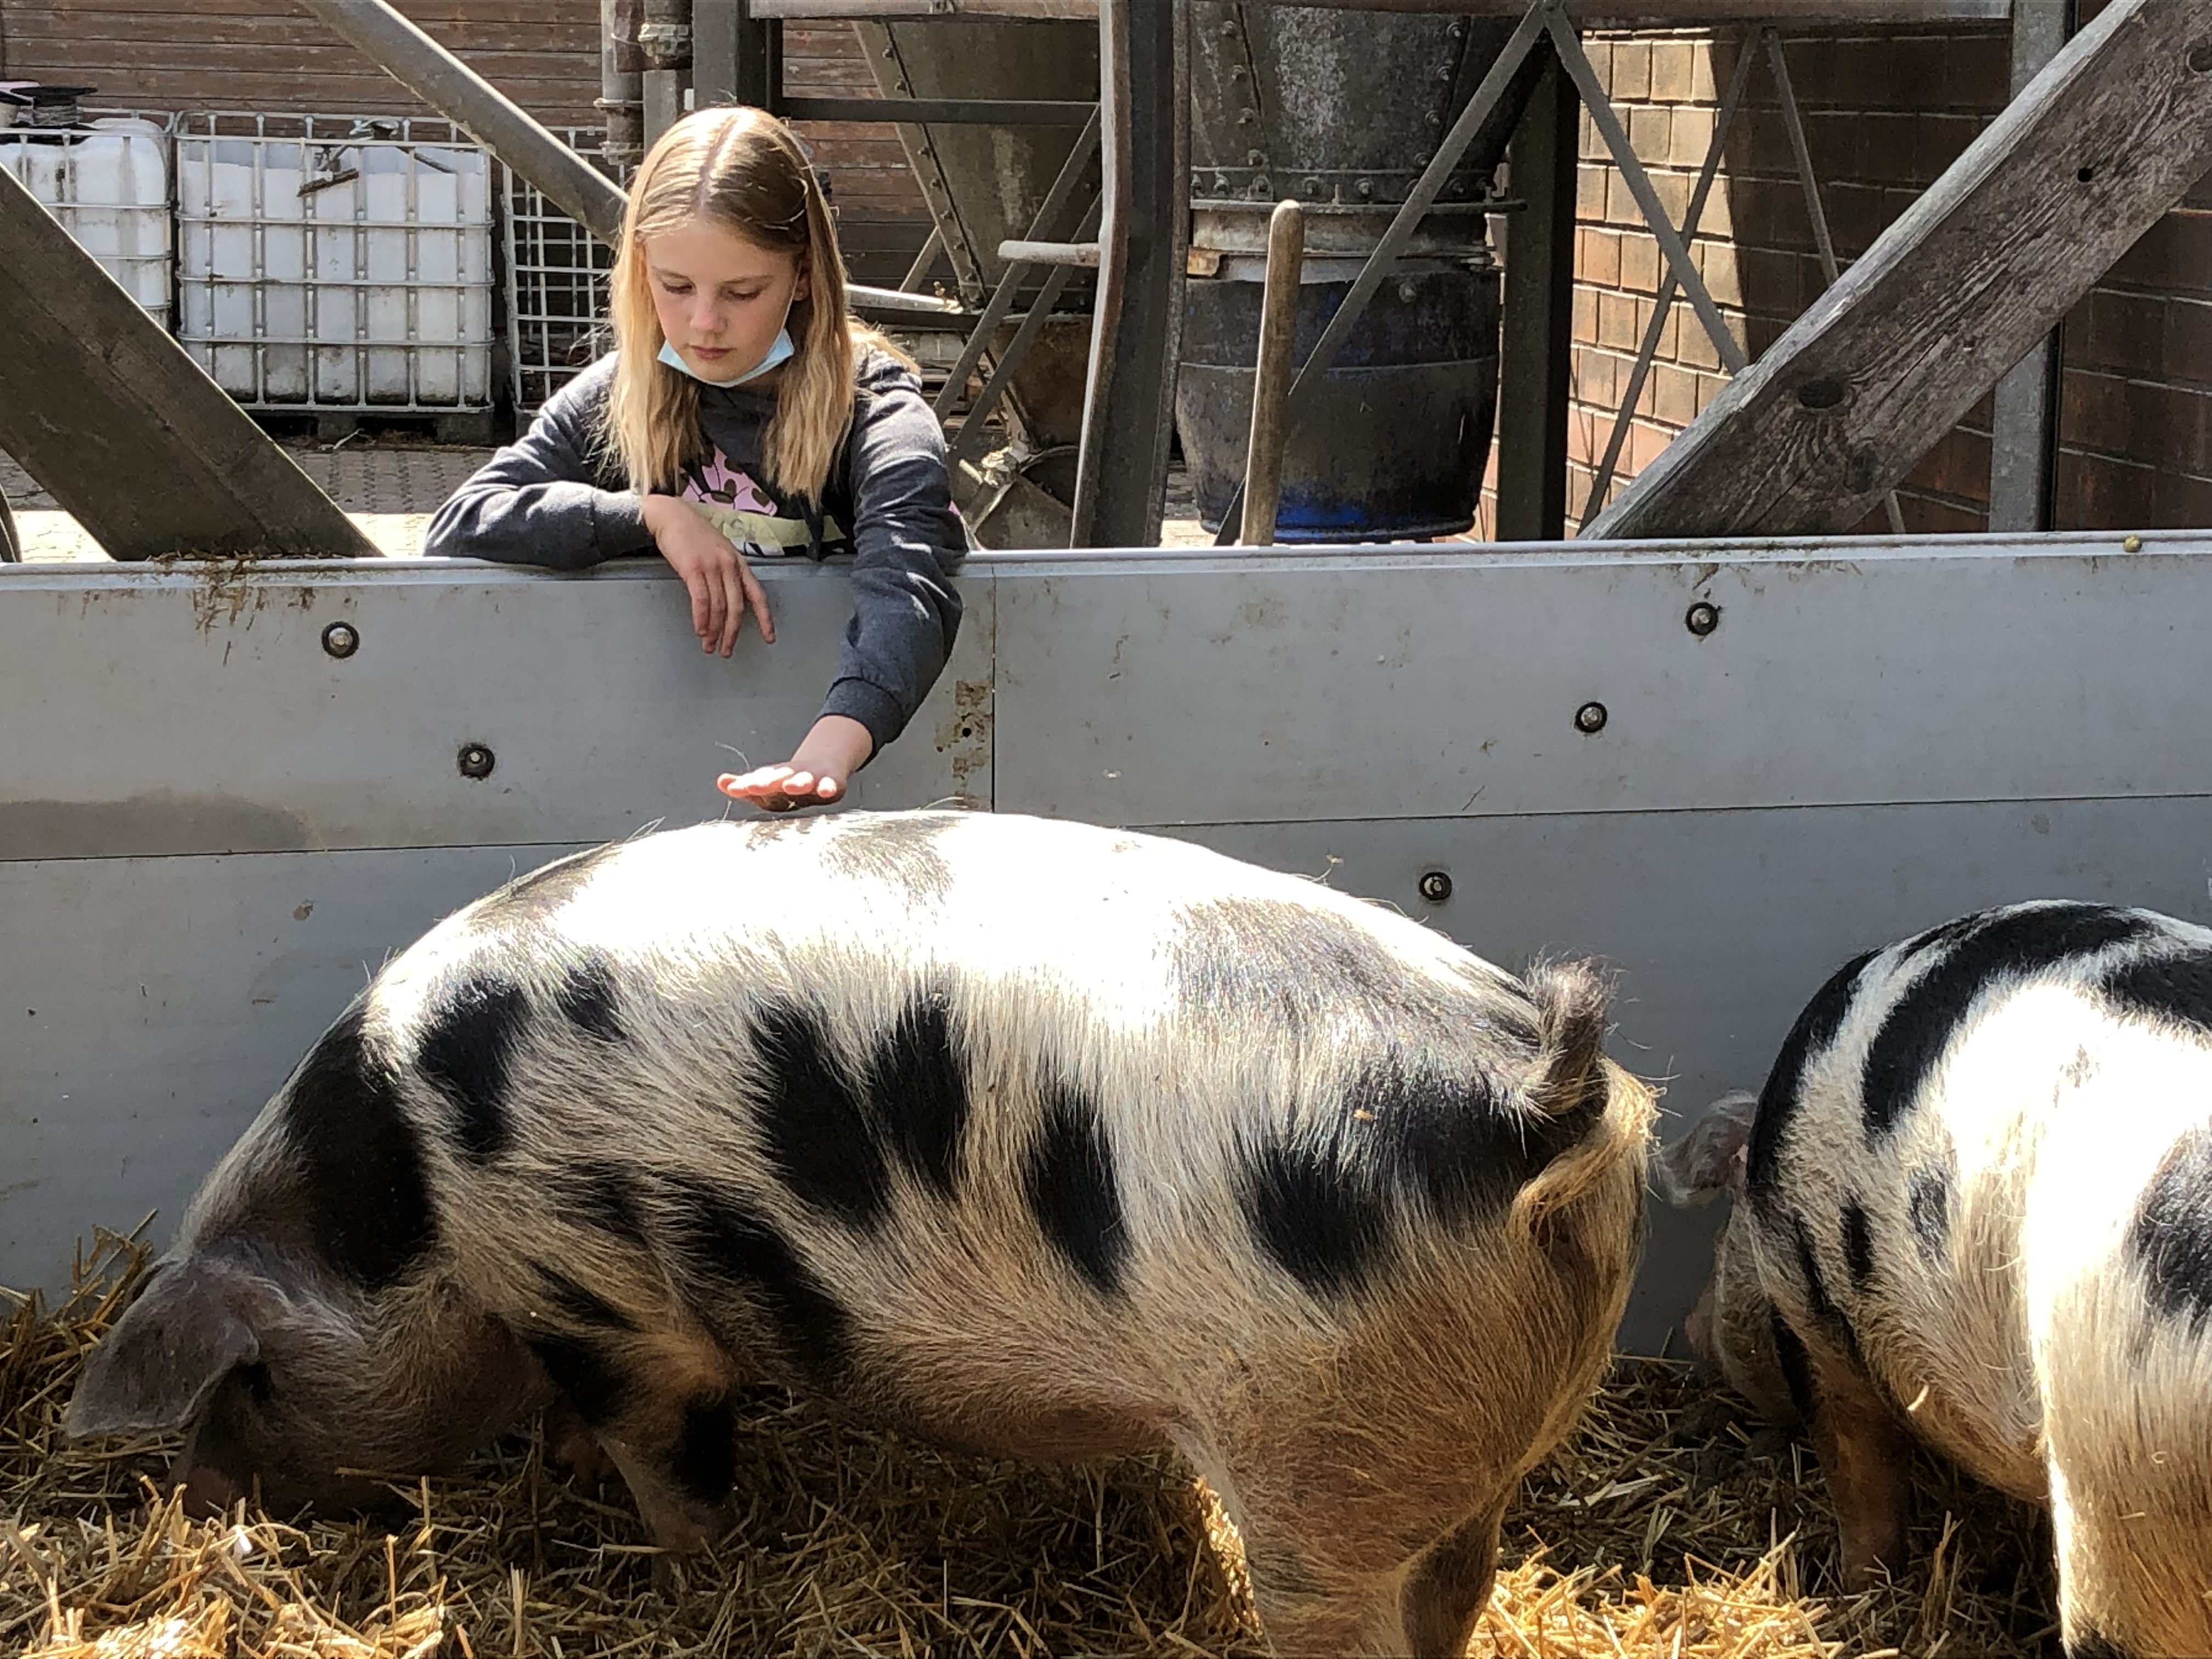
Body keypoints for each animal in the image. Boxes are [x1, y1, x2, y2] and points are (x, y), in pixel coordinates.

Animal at [64, 809, 1654, 1658]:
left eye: (250, 1380)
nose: (196, 1501)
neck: (413, 1203)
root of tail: (1535, 1099)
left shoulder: (602, 1296)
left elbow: (674, 1462)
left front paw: (695, 1578)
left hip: (1316, 1456)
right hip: (1461, 1451)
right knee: (1459, 1585)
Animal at [1660, 900, 2212, 1658]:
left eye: (1725, 1230)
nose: (1688, 1329)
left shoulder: (1812, 1316)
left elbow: (1859, 1474)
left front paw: (1857, 1591)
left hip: (2124, 1484)